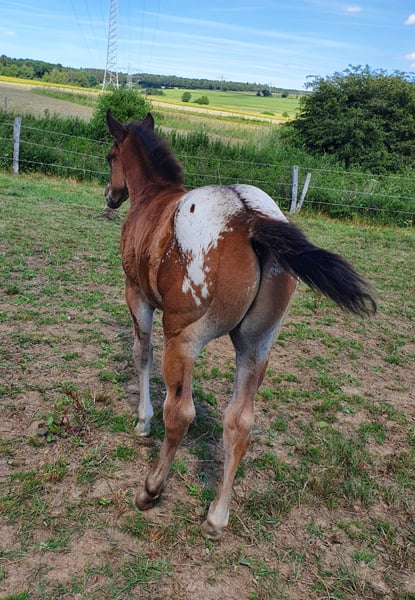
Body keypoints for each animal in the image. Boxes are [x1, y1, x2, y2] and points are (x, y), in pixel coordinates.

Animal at [104, 110, 376, 540]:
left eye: (110, 156)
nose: (110, 196)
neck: (153, 196)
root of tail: (250, 219)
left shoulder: (137, 295)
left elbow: (141, 353)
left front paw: (142, 421)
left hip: (184, 337)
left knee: (180, 413)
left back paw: (150, 490)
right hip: (256, 345)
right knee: (240, 422)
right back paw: (217, 517)